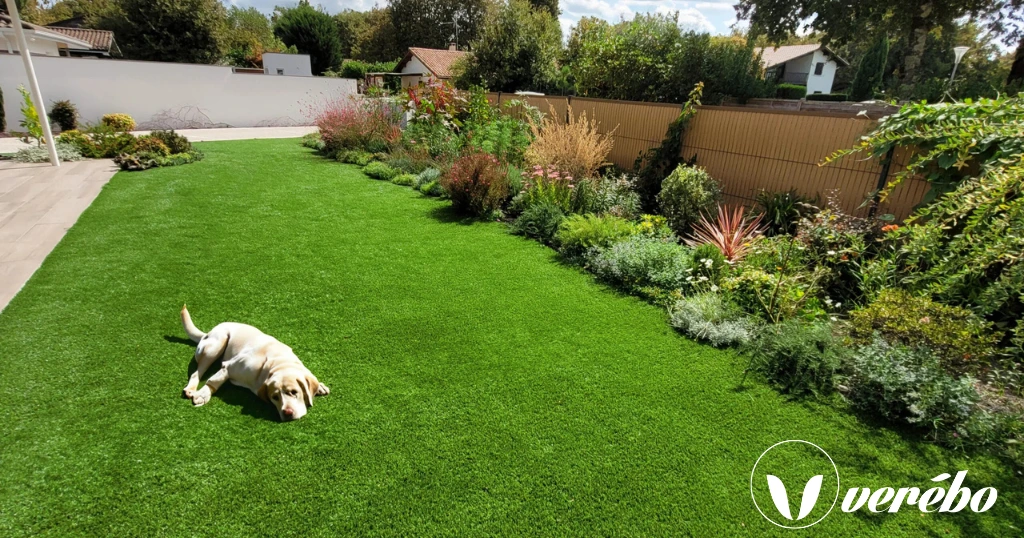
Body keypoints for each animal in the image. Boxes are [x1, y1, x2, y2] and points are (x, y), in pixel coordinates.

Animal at [178, 305, 329, 420]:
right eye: (274, 397)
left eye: (293, 392)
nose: (287, 413)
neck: (277, 363)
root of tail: (207, 333)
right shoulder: (228, 366)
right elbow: (214, 380)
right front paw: (203, 395)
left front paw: (319, 386)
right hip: (217, 344)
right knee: (197, 373)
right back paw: (191, 389)